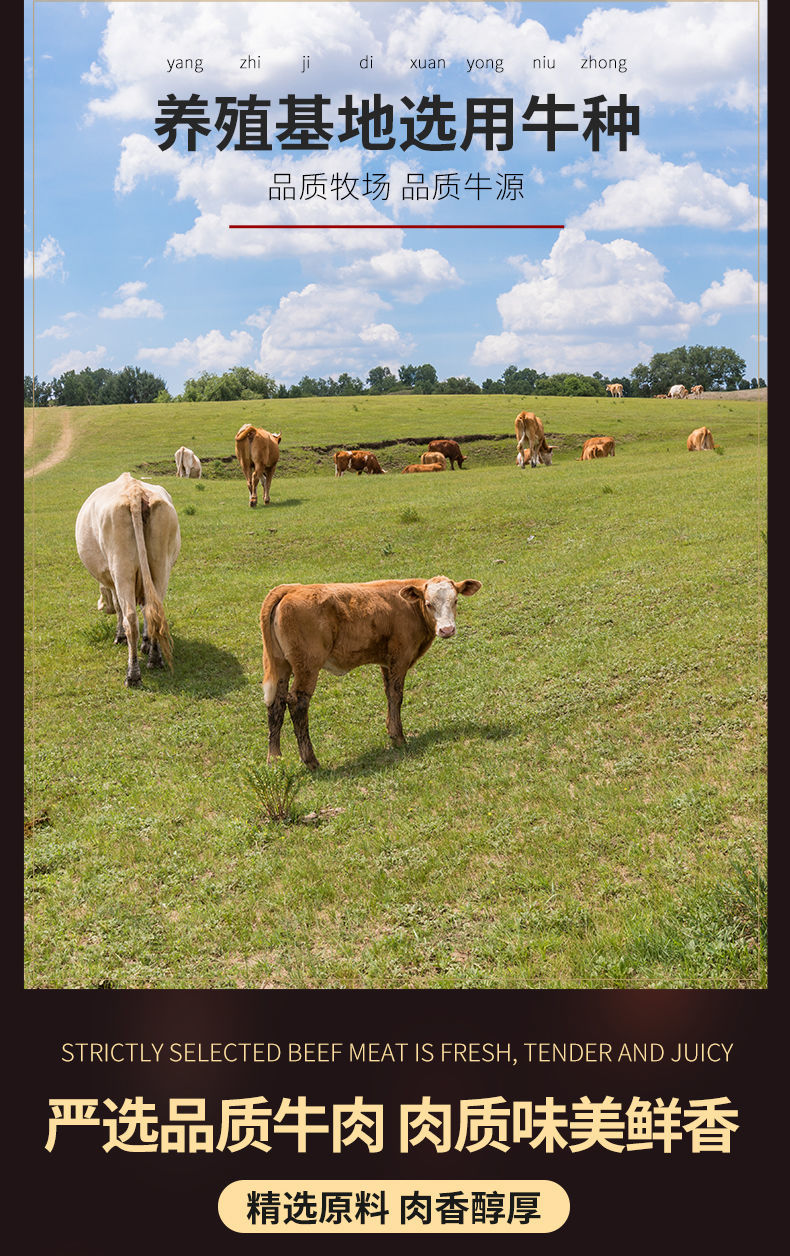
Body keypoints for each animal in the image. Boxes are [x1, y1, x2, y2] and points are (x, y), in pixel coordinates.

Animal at [75, 472, 181, 687]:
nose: (102, 607)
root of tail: (135, 491)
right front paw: (146, 643)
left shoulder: (113, 581)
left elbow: (118, 608)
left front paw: (120, 637)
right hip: (160, 566)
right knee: (153, 611)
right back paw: (155, 659)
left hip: (121, 567)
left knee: (130, 619)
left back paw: (132, 675)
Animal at [261, 576, 482, 769]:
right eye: (428, 604)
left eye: (455, 600)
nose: (447, 630)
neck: (410, 609)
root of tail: (292, 589)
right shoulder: (400, 658)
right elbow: (396, 695)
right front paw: (398, 738)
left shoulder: (387, 663)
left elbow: (389, 694)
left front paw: (391, 729)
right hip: (307, 666)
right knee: (297, 703)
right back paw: (311, 761)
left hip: (281, 665)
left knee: (276, 705)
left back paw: (275, 759)